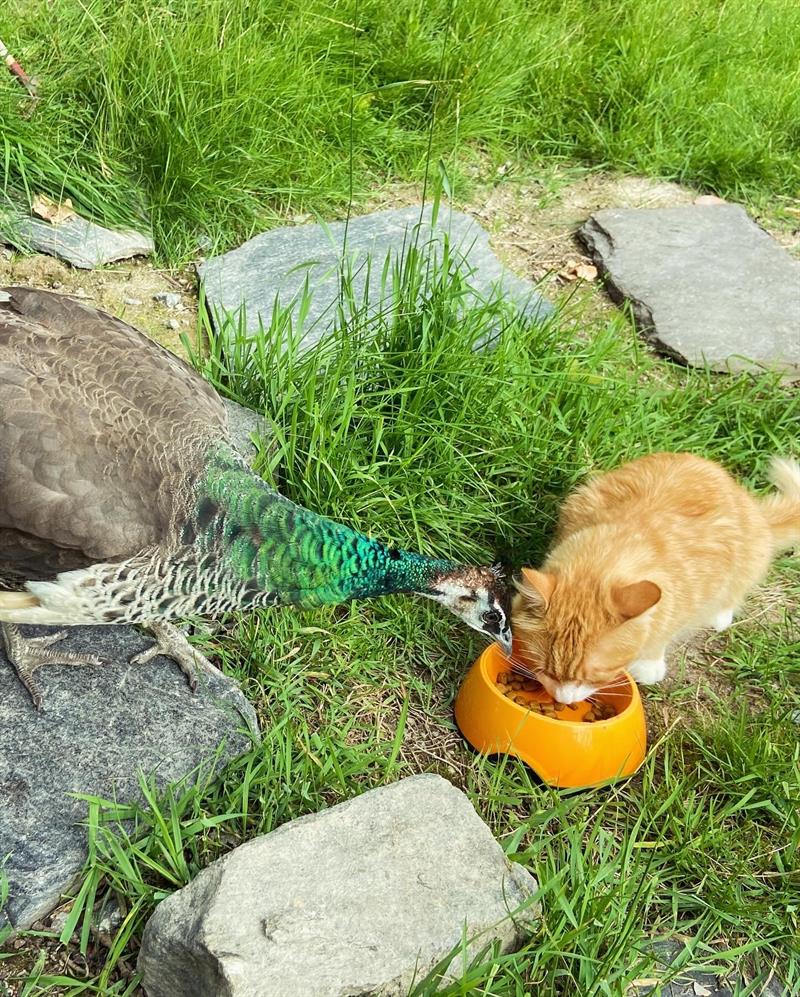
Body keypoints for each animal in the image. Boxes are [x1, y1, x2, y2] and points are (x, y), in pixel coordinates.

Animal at [512, 452, 800, 700]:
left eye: (595, 677)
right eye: (543, 669)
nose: (563, 700)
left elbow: (664, 629)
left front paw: (649, 662)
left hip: (750, 554)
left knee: (736, 590)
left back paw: (720, 616)